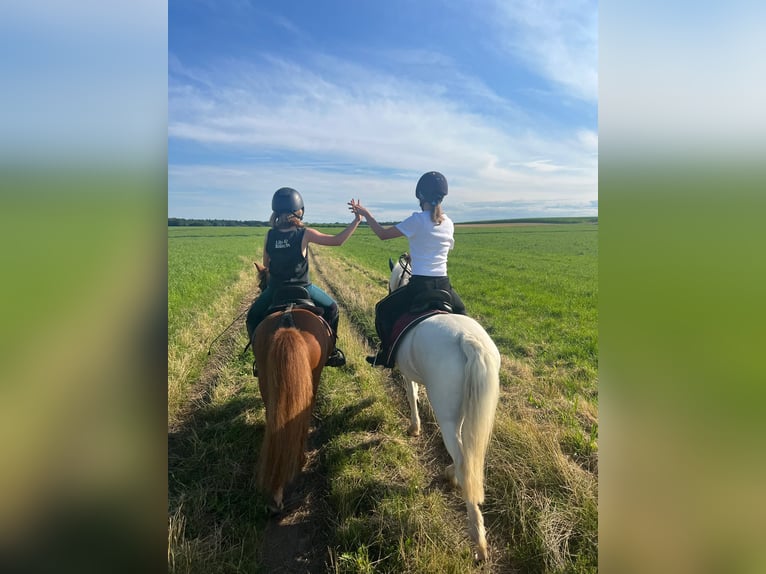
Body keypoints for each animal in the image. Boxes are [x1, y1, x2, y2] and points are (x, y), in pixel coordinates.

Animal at [388, 256, 500, 564]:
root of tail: (468, 341)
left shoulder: (408, 374)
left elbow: (412, 395)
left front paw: (414, 428)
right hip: (468, 412)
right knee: (470, 456)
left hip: (447, 416)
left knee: (463, 459)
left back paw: (478, 540)